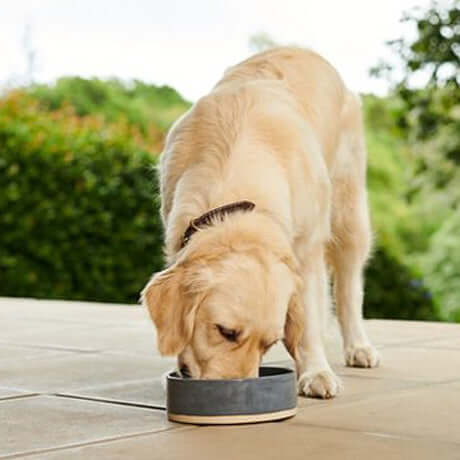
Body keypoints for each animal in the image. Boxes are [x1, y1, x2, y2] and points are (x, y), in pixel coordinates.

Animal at [142, 47, 380, 398]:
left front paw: (316, 372)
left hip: (349, 213)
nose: (237, 394)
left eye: (269, 343)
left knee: (349, 287)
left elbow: (310, 320)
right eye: (225, 331)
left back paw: (359, 347)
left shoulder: (307, 251)